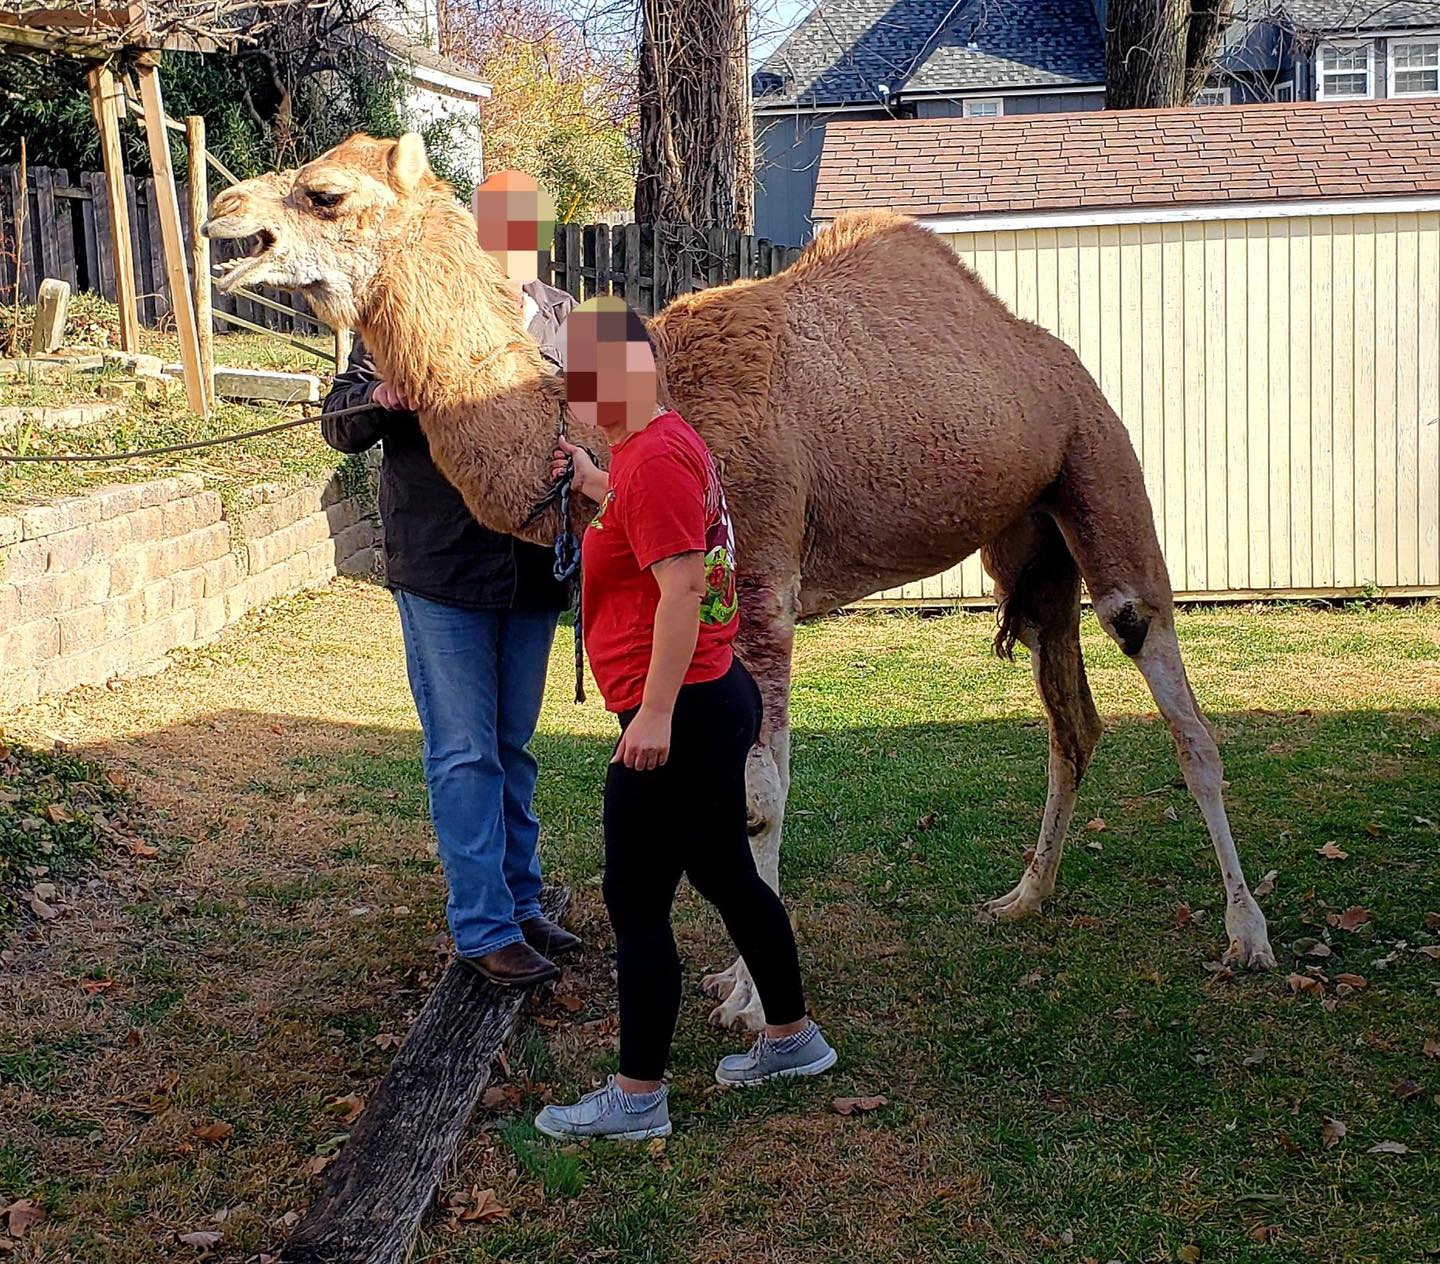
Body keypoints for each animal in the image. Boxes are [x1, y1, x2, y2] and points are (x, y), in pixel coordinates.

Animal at [203, 133, 1276, 1030]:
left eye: (326, 192)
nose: (220, 213)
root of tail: (1053, 362)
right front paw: (736, 976)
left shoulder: (759, 574)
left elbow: (759, 791)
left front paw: (755, 1005)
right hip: (1028, 541)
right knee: (1071, 719)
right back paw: (1024, 897)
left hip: (1100, 467)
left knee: (1175, 700)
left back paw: (1246, 936)